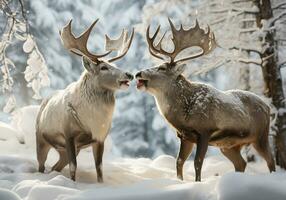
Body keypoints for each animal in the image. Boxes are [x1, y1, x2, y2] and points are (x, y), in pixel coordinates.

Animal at [35, 19, 134, 182]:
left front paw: (100, 184)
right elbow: (73, 166)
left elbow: (99, 168)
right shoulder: (68, 134)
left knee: (56, 166)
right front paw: (73, 184)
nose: (129, 74)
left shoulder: (100, 138)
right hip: (41, 140)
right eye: (103, 67)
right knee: (41, 165)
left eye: (115, 65)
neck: (94, 122)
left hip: (66, 150)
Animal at [135, 18, 276, 181]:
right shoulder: (184, 136)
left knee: (270, 160)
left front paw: (197, 182)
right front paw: (180, 181)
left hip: (260, 136)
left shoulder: (205, 131)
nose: (138, 73)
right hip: (229, 145)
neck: (183, 115)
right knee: (241, 163)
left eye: (162, 68)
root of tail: (267, 107)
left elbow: (197, 162)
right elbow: (179, 161)